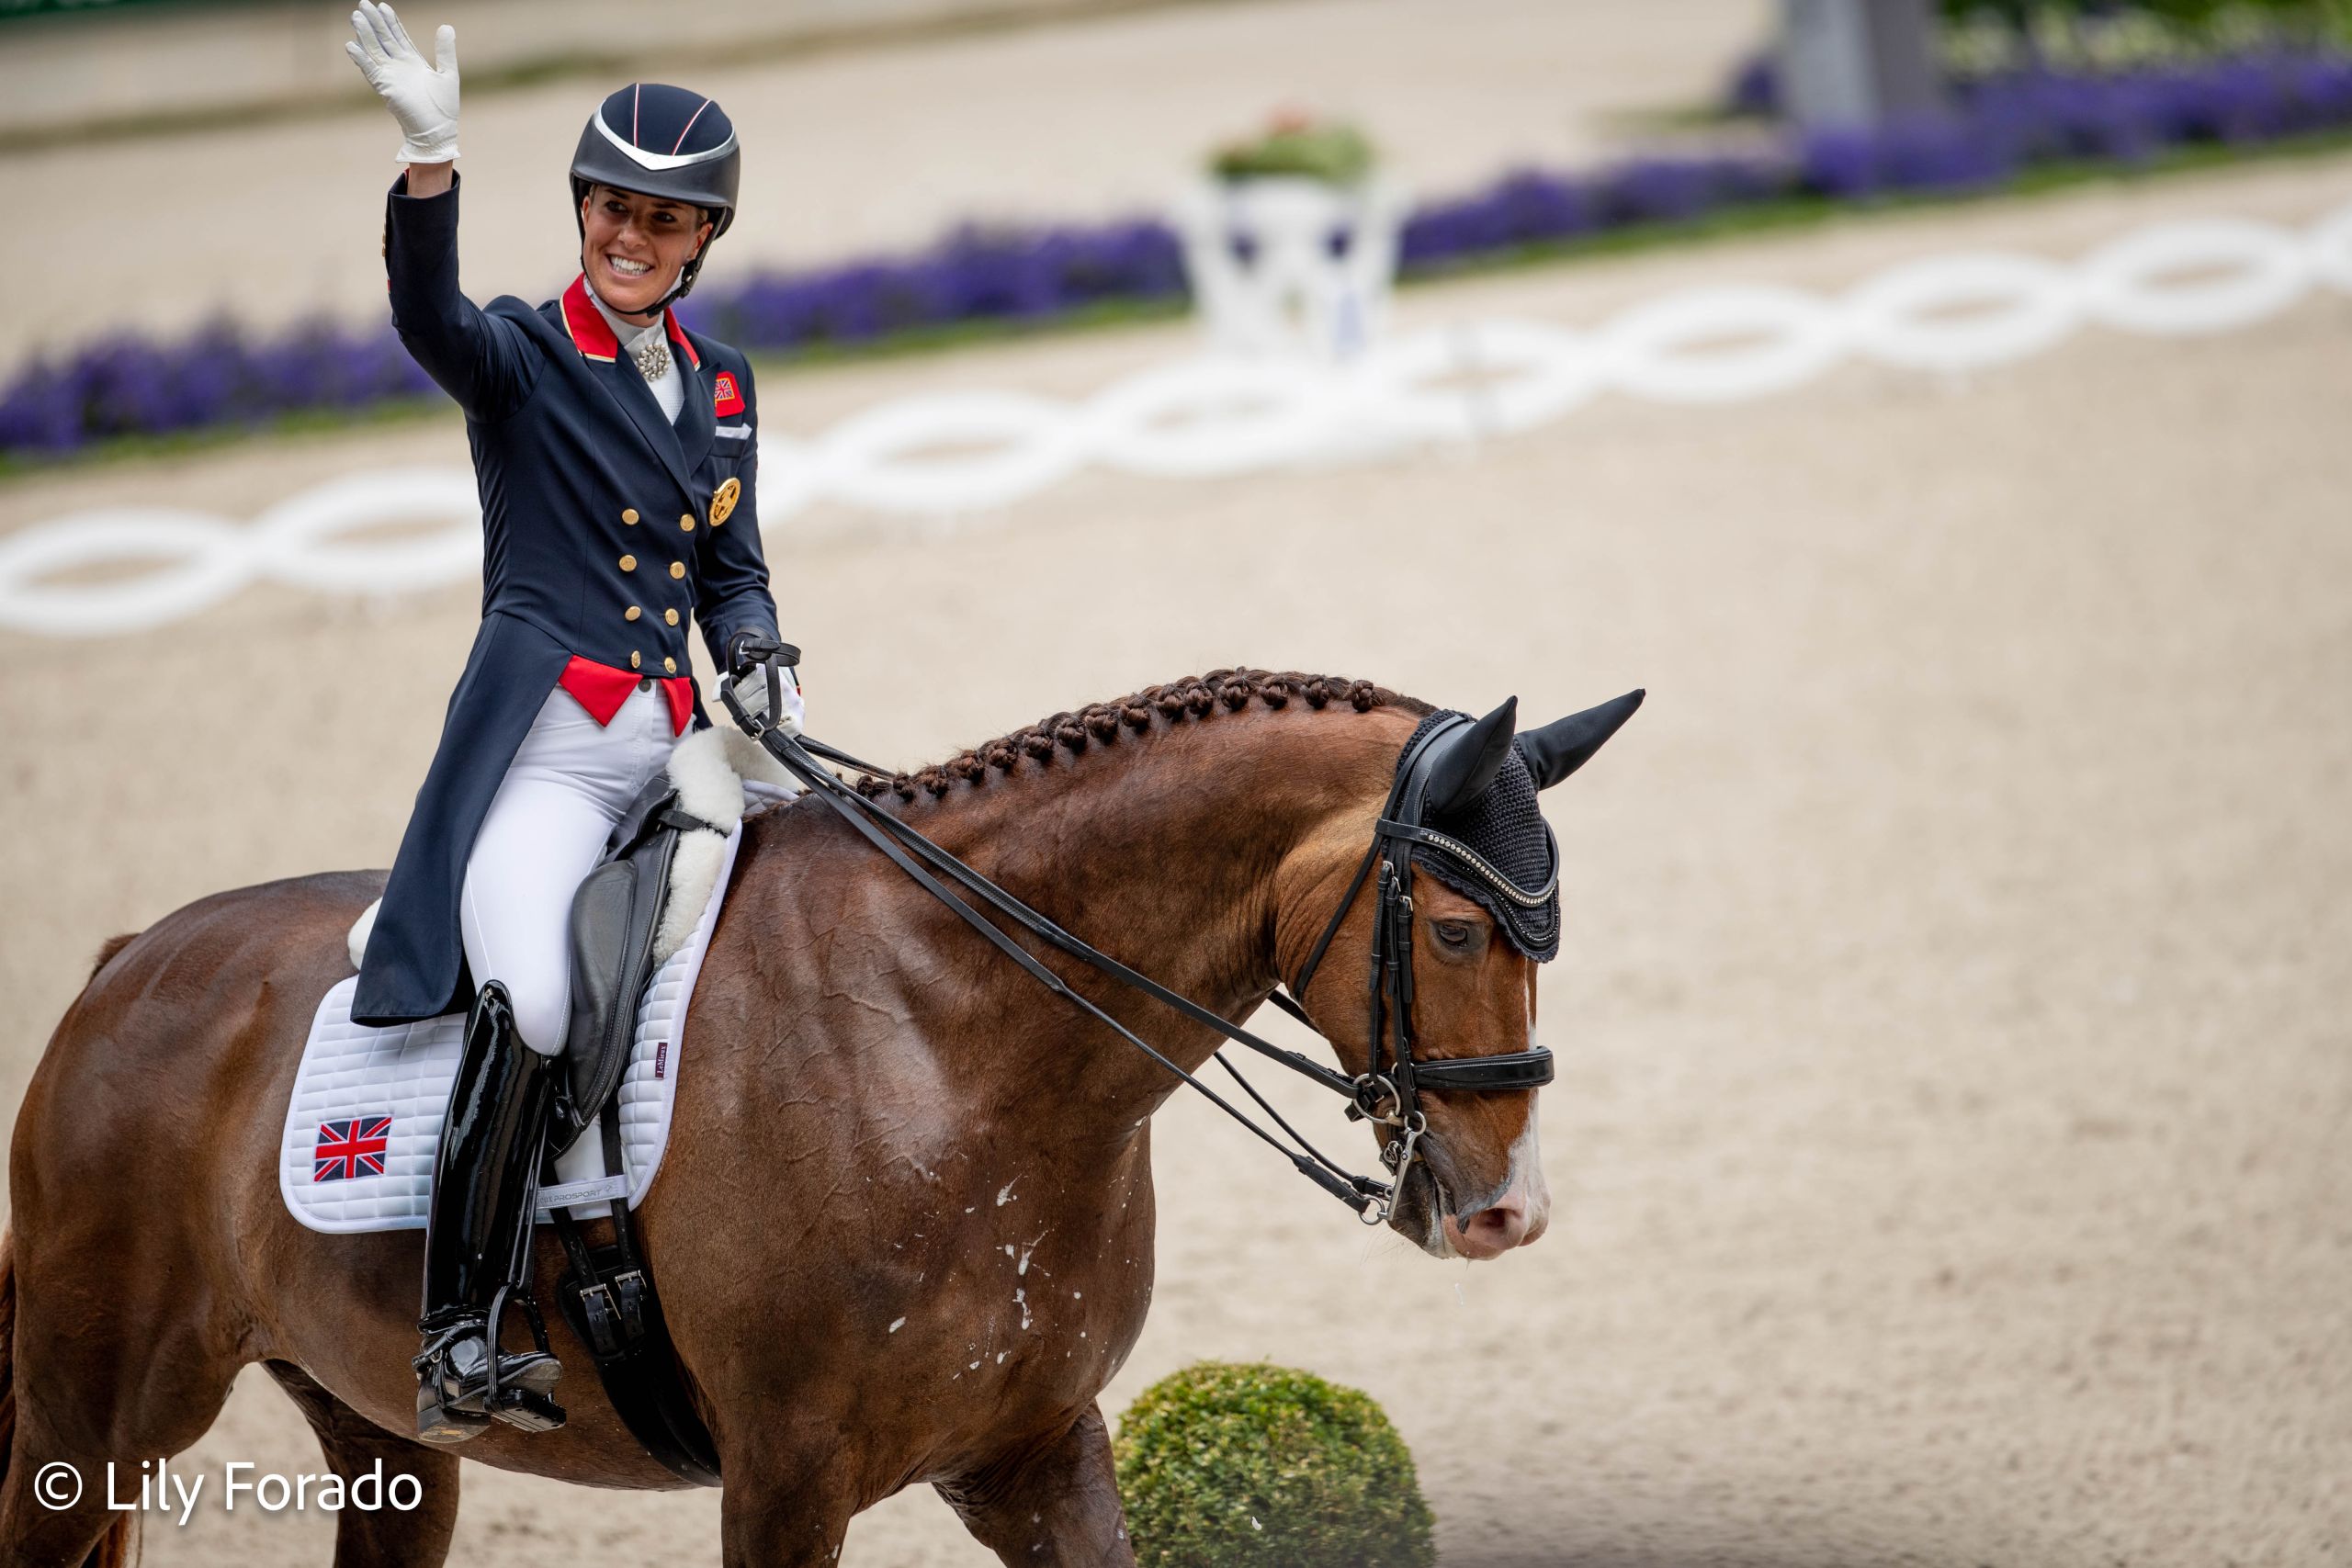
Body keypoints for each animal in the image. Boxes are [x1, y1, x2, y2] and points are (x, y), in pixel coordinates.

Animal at [5, 671, 1599, 1568]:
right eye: (1459, 928)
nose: (1508, 1208)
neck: (952, 1037)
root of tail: (122, 962)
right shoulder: (782, 1478)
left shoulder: (1032, 1447)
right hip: (93, 1418)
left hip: (383, 1438)